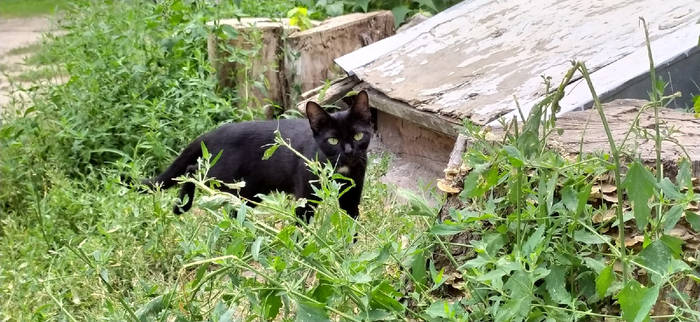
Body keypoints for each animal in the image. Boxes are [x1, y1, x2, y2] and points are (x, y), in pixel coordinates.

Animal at [142, 92, 372, 220]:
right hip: (222, 176)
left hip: (247, 191)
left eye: (359, 135)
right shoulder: (305, 198)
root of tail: (212, 133)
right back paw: (181, 205)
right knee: (193, 170)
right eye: (333, 141)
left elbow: (352, 223)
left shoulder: (352, 194)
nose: (349, 151)